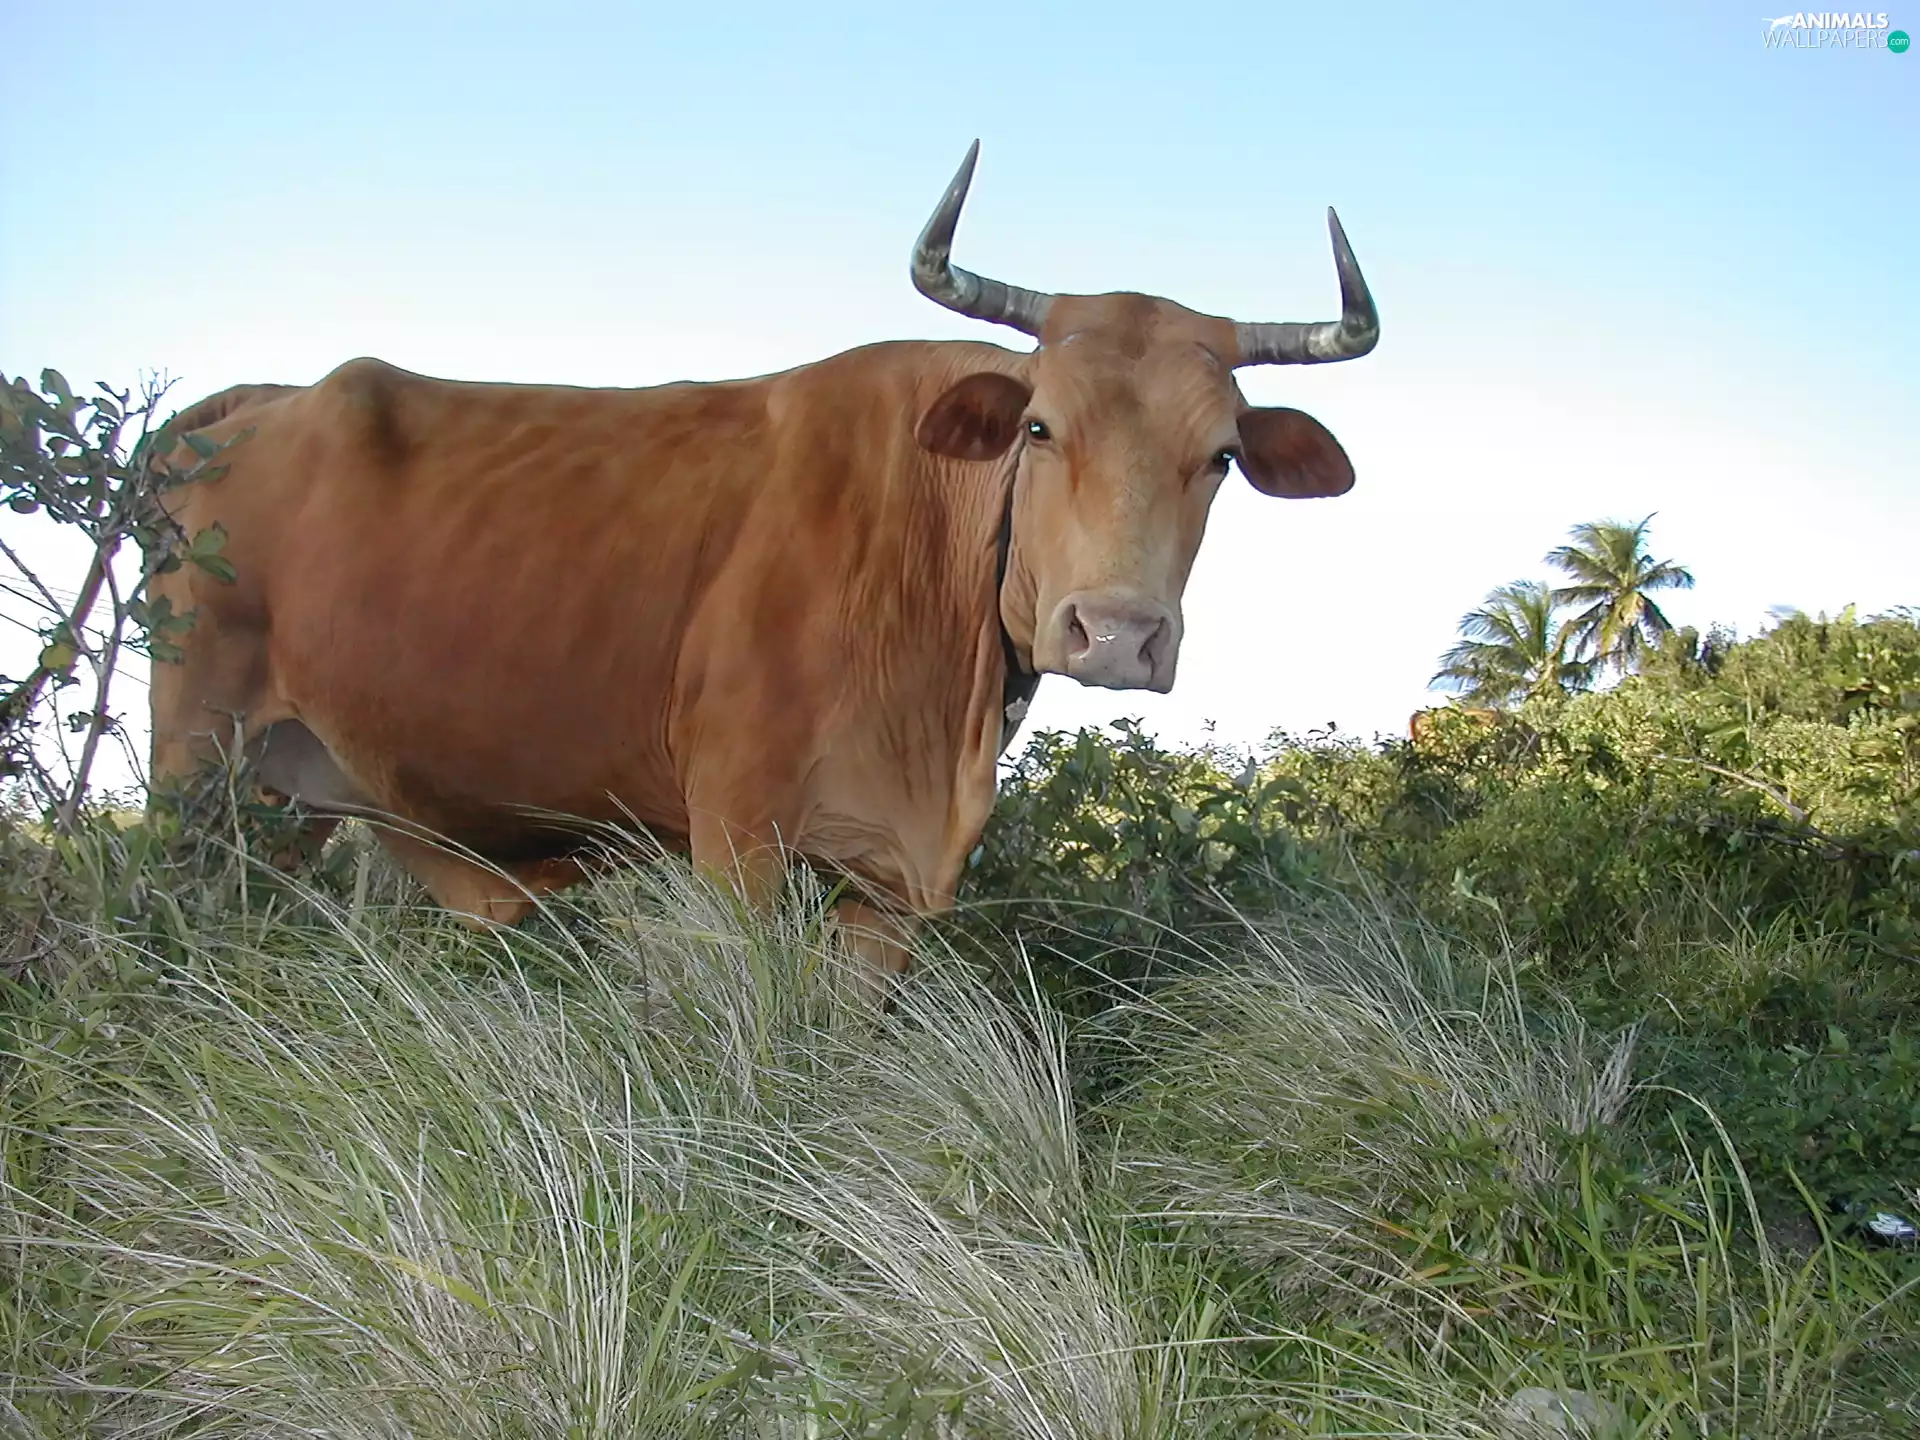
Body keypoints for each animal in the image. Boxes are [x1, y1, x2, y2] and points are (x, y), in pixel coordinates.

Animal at [146, 141, 1380, 981]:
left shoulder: (888, 888)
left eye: (1221, 456)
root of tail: (250, 401)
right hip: (193, 762)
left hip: (295, 793)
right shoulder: (733, 841)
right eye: (1039, 426)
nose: (1119, 634)